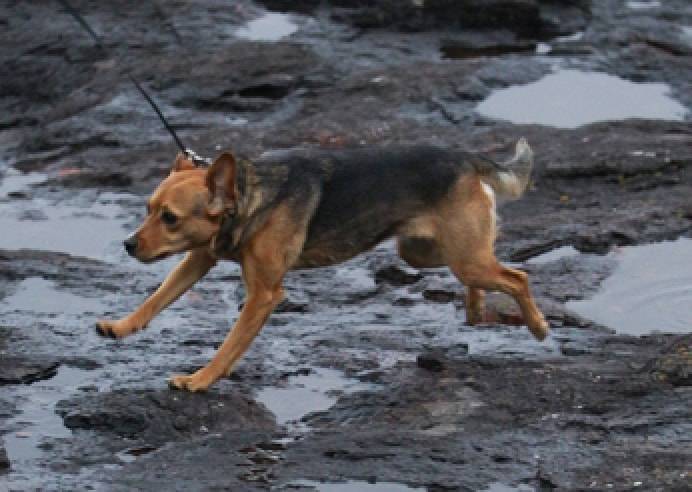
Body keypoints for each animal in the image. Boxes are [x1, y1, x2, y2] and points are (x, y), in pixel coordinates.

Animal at [97, 139, 548, 392]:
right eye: (148, 209)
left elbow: (229, 346)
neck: (247, 198)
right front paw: (121, 326)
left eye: (170, 218)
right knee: (490, 265)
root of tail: (468, 158)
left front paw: (200, 379)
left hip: (461, 257)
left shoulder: (264, 294)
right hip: (428, 251)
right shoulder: (199, 258)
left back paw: (539, 327)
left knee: (517, 277)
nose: (127, 245)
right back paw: (475, 307)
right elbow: (156, 299)